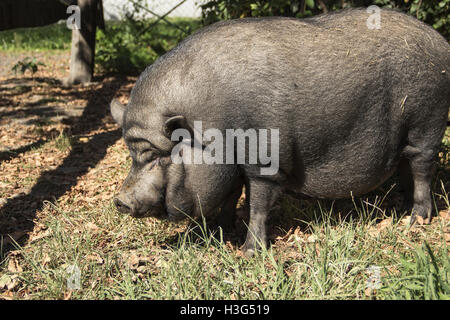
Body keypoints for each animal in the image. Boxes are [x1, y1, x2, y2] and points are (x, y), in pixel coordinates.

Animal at [110, 8, 448, 256]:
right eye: (132, 154)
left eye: (159, 156)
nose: (120, 200)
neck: (214, 131)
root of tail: (442, 43)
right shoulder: (233, 165)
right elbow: (230, 195)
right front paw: (220, 232)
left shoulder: (265, 162)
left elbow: (257, 204)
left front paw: (249, 252)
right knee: (405, 164)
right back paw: (403, 208)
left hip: (427, 122)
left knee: (422, 167)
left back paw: (418, 219)